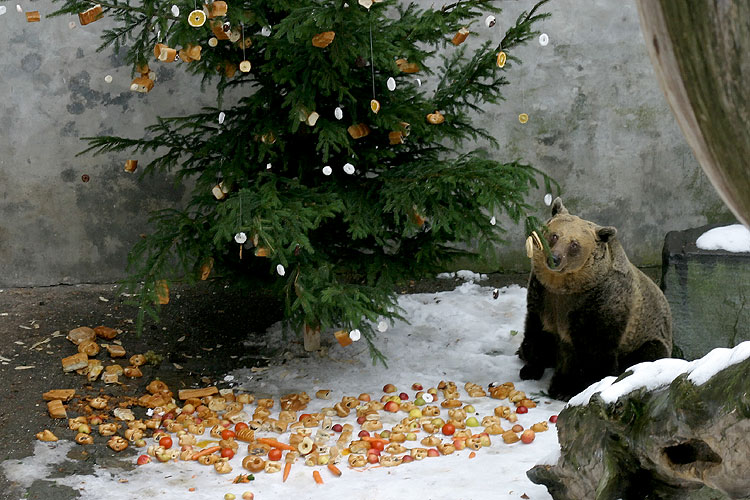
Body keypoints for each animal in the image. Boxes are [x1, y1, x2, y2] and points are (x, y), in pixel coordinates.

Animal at [520, 197, 672, 400]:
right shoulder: (542, 295)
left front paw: (566, 387)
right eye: (554, 236)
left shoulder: (601, 304)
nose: (555, 259)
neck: (565, 287)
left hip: (648, 339)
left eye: (574, 244)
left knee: (650, 354)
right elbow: (537, 331)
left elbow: (592, 352)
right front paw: (530, 368)